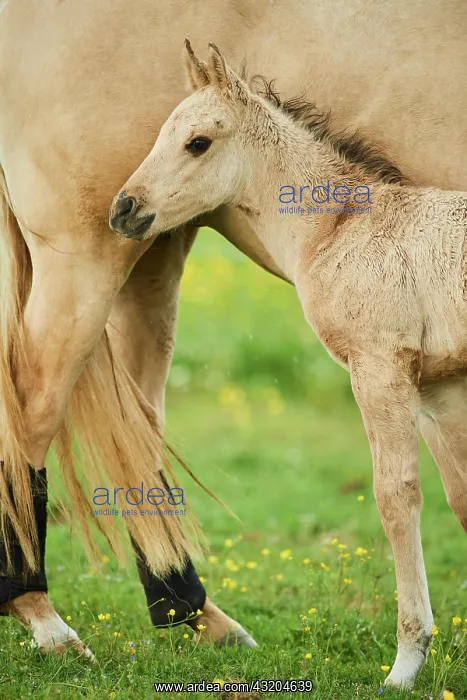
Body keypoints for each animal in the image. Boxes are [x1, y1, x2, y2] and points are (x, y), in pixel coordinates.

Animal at [1, 0, 466, 671]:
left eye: (197, 141)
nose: (124, 208)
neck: (350, 224)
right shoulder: (417, 378)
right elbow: (425, 495)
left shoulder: (405, 373)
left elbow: (414, 496)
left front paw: (406, 663)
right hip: (85, 261)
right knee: (41, 410)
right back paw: (59, 622)